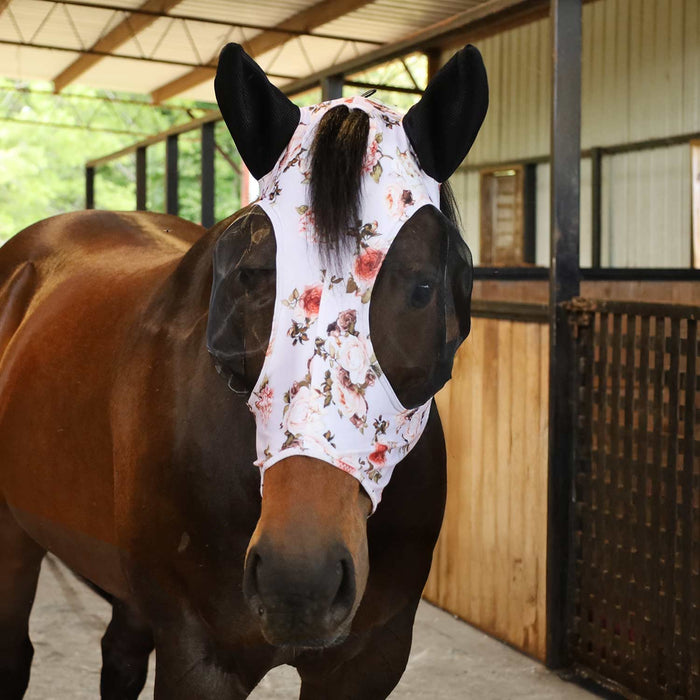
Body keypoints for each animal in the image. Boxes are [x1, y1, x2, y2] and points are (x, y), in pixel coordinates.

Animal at [0, 43, 487, 699]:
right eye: (251, 277)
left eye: (423, 287)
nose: (299, 580)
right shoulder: (198, 657)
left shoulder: (370, 659)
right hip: (13, 540)